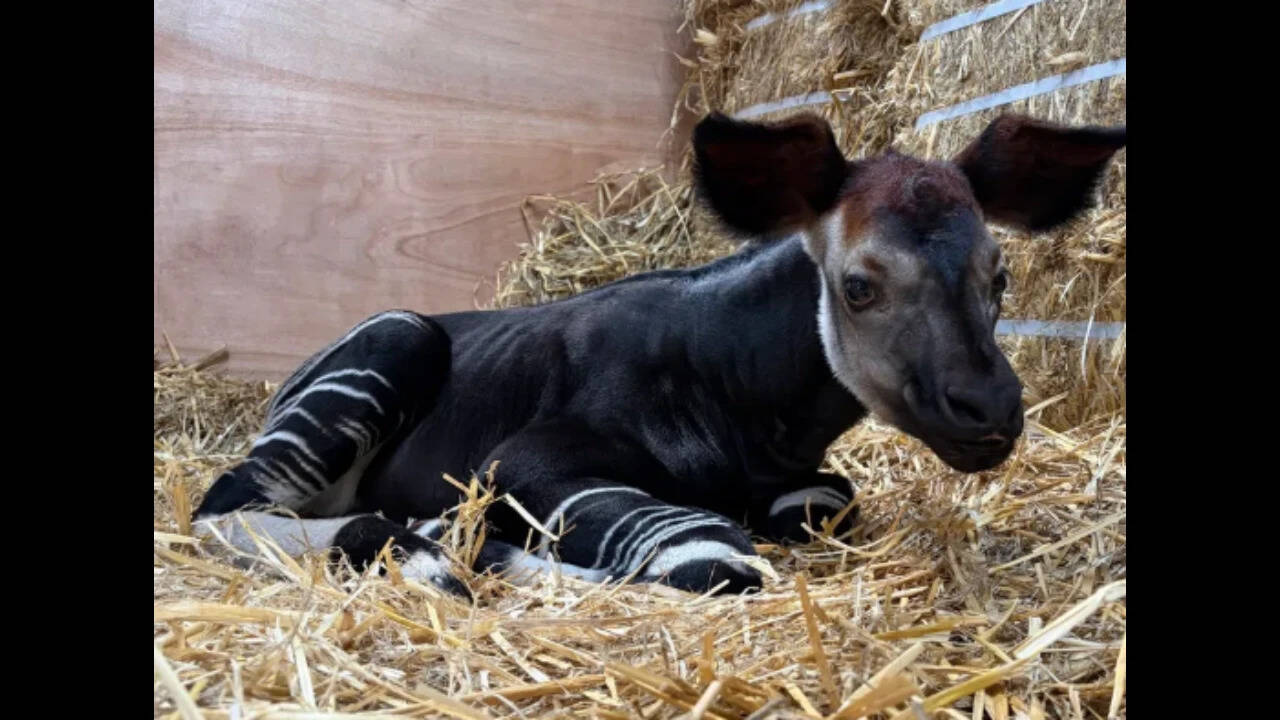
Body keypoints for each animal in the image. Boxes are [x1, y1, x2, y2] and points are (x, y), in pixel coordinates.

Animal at [192, 112, 1126, 600]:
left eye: (1000, 276)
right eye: (859, 285)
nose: (991, 411)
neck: (747, 402)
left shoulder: (808, 484)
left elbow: (817, 506)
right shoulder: (522, 462)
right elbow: (709, 549)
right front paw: (471, 548)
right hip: (392, 343)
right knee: (221, 506)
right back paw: (419, 547)